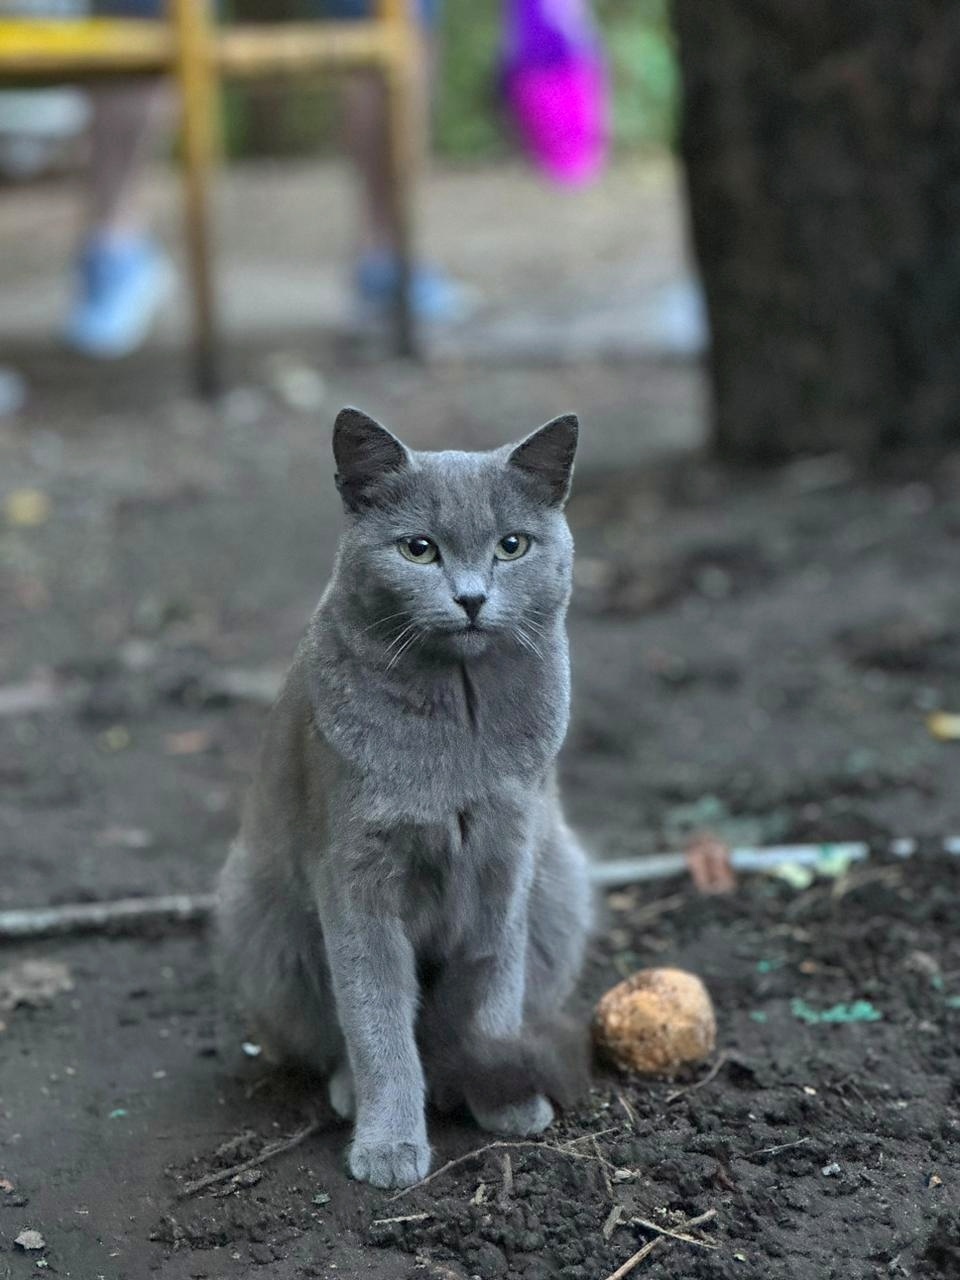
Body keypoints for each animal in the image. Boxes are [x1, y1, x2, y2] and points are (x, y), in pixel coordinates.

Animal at [217, 407, 593, 1187]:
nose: (472, 598)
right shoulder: (355, 876)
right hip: (255, 916)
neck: (461, 716)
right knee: (328, 1037)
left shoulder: (507, 857)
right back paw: (349, 1093)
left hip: (563, 882)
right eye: (419, 550)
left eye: (513, 545)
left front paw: (500, 1094)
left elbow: (492, 991)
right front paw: (389, 1146)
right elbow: (376, 1018)